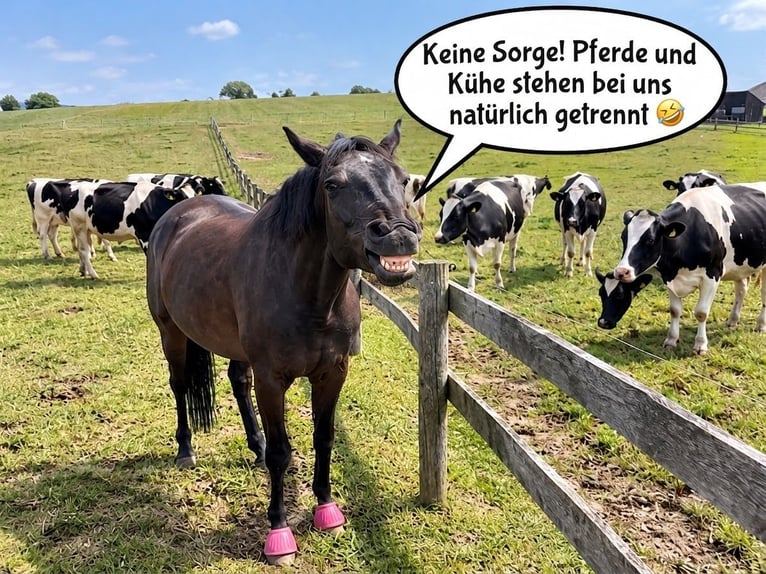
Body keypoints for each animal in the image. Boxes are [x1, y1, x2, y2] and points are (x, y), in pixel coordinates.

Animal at [145, 120, 420, 565]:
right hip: (170, 330)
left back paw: (253, 445)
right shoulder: (272, 380)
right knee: (180, 385)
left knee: (237, 382)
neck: (309, 297)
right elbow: (282, 452)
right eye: (332, 184)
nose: (397, 237)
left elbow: (323, 437)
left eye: (403, 179)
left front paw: (327, 509)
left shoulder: (332, 373)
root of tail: (176, 214)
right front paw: (278, 532)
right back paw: (185, 449)